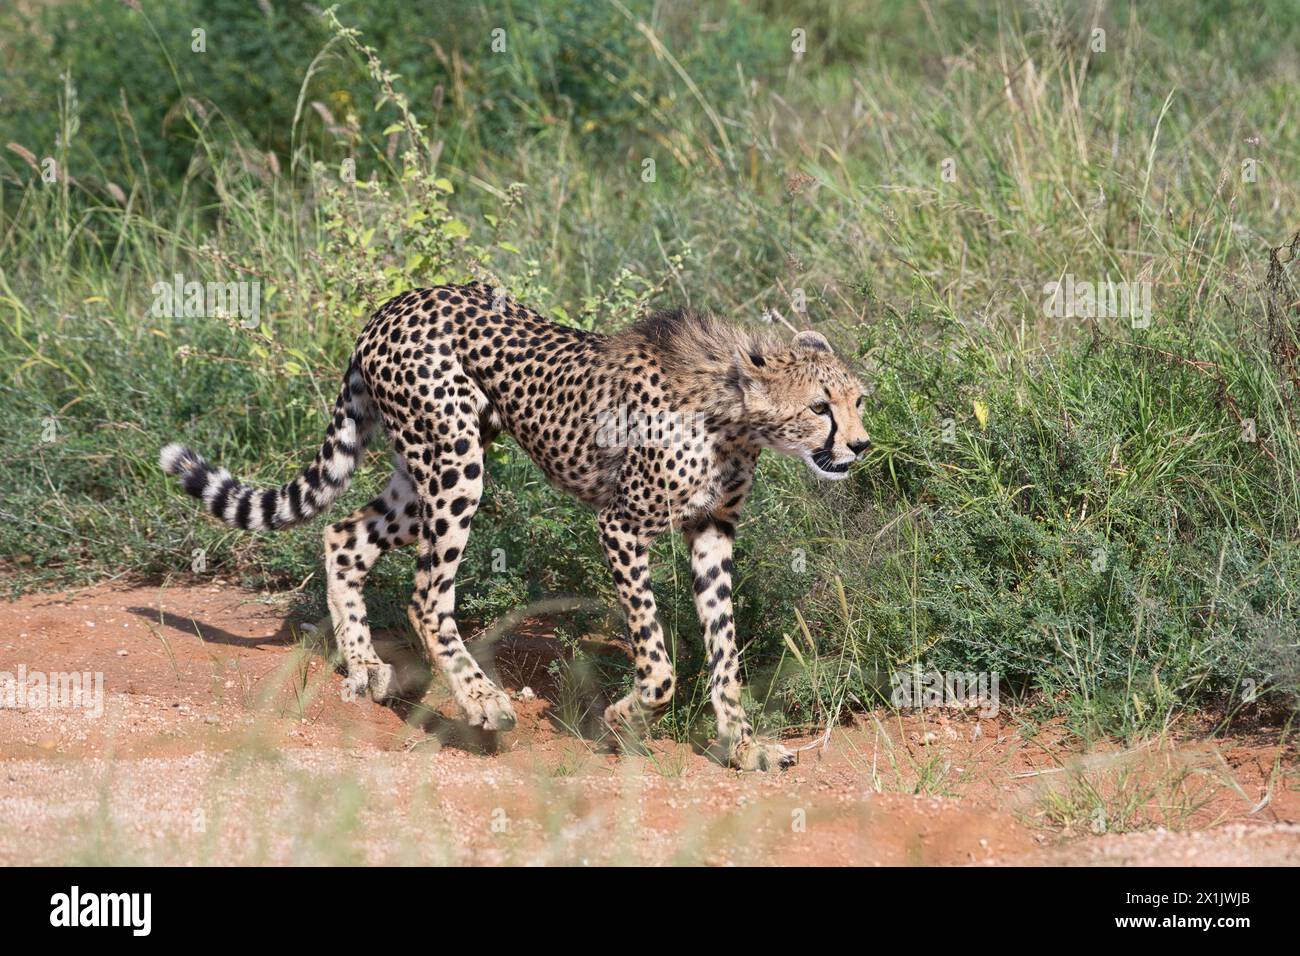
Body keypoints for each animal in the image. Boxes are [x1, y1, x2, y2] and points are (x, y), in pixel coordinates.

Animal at [162, 282, 873, 770]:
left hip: (423, 473)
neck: (732, 415)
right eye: (820, 408)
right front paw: (623, 717)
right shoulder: (620, 526)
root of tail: (397, 301)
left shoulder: (711, 532)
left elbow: (724, 649)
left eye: (858, 400)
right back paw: (482, 701)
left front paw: (743, 746)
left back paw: (366, 666)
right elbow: (658, 658)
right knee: (425, 594)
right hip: (455, 467)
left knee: (343, 536)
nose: (861, 445)